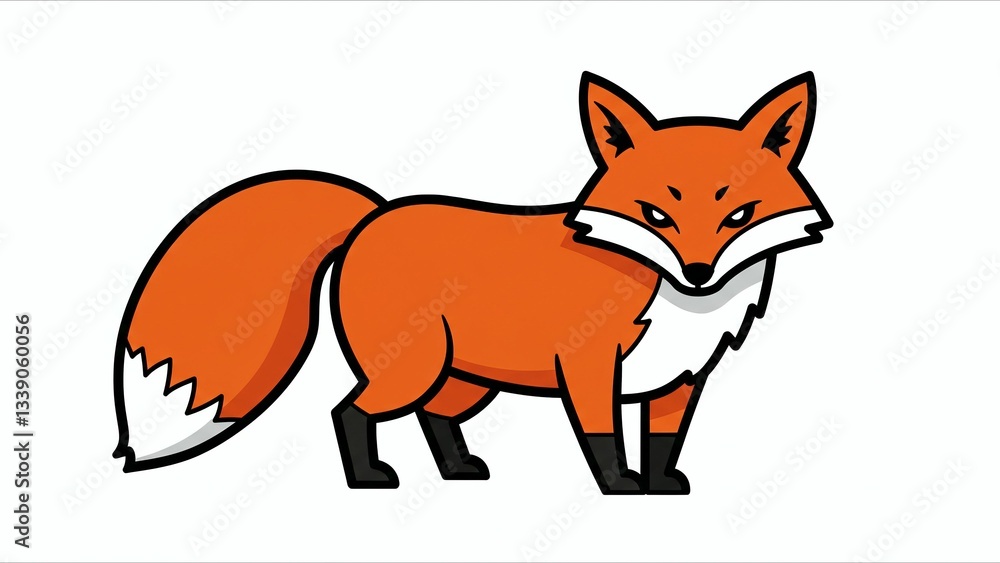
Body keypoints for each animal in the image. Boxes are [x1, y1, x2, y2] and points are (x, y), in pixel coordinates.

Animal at [113, 71, 831, 494]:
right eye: (657, 215)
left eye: (739, 215)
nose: (698, 275)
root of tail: (375, 213)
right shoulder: (590, 367)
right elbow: (602, 438)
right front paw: (619, 487)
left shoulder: (679, 382)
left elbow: (661, 443)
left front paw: (659, 486)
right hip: (413, 367)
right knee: (349, 409)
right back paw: (371, 478)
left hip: (466, 381)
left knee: (435, 417)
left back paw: (459, 470)